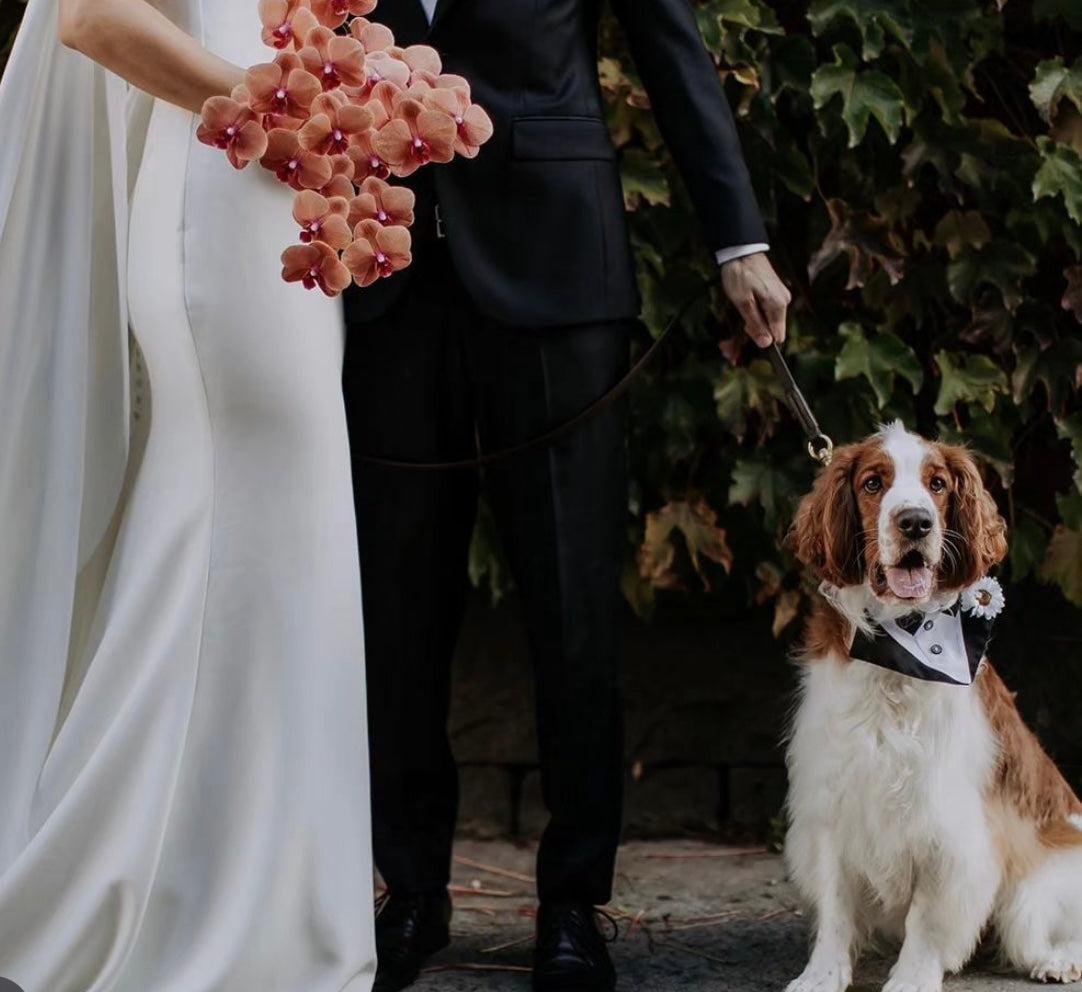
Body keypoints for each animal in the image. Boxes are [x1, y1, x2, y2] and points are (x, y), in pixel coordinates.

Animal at [787, 419, 1082, 990]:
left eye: (938, 484)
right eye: (873, 483)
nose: (916, 522)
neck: (901, 649)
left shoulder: (946, 820)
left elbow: (928, 914)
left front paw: (912, 977)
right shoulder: (834, 795)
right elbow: (835, 903)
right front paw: (822, 975)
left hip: (1036, 891)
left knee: (1034, 936)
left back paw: (1058, 960)